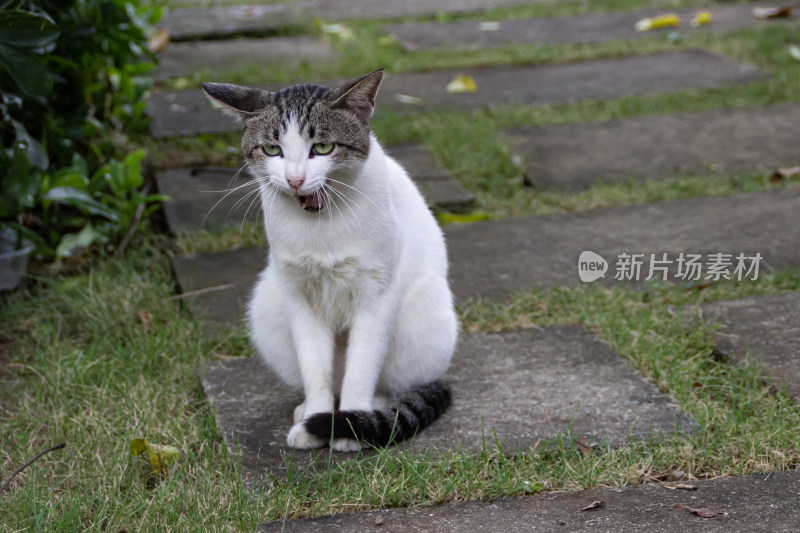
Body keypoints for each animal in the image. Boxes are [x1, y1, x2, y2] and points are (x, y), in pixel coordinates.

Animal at [203, 69, 460, 454]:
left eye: (322, 148)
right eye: (272, 150)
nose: (295, 179)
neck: (319, 223)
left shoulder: (376, 295)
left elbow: (362, 368)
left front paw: (349, 429)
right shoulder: (298, 296)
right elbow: (315, 369)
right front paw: (316, 420)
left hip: (425, 315)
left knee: (387, 383)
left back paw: (370, 409)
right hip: (268, 303)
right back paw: (309, 410)